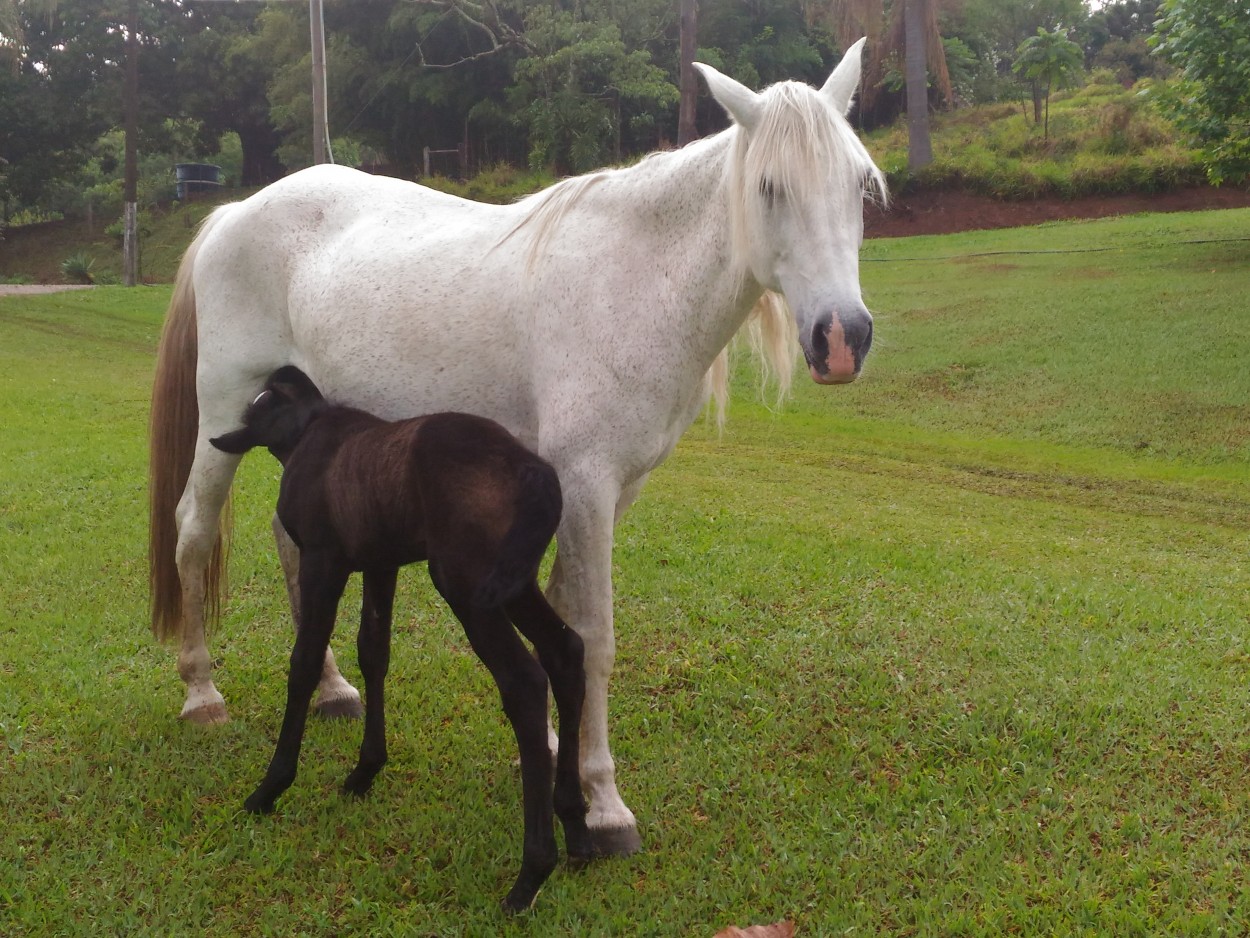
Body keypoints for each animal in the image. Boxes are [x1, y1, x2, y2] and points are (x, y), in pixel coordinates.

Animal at [151, 40, 885, 855]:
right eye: (768, 186)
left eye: (859, 183)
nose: (841, 339)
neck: (634, 280)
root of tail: (234, 213)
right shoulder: (586, 484)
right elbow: (594, 634)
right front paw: (603, 803)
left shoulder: (606, 492)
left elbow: (562, 618)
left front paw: (559, 752)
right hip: (225, 416)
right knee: (192, 530)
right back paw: (201, 693)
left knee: (289, 545)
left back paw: (334, 689)